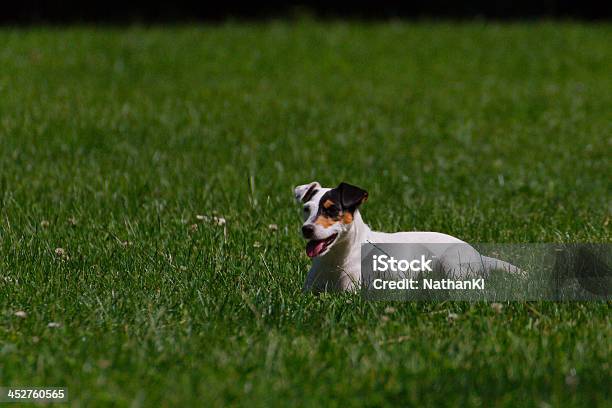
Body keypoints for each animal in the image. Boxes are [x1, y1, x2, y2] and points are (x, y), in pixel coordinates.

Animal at [294, 180, 520, 292]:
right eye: (306, 209)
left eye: (332, 210)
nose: (306, 229)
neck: (334, 259)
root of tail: (479, 255)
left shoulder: (351, 291)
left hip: (451, 263)